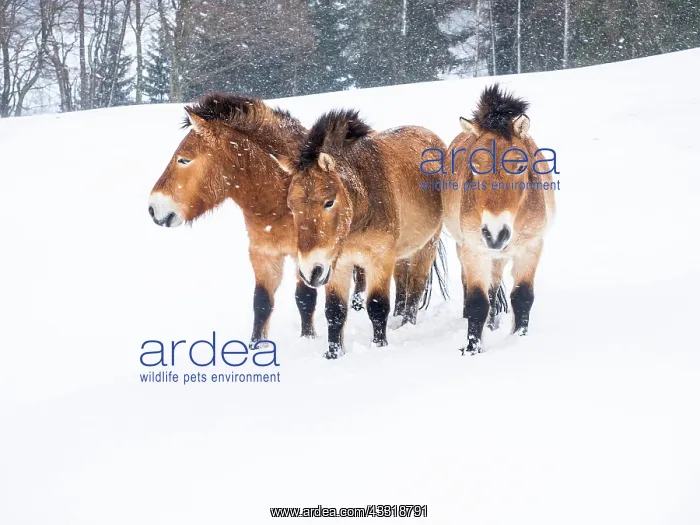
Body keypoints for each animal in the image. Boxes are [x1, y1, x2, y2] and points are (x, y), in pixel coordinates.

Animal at [147, 93, 368, 346]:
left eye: (184, 160)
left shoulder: (306, 256)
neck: (277, 197)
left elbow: (305, 298)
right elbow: (261, 303)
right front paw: (256, 345)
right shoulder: (263, 255)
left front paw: (307, 337)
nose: (153, 208)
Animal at [272, 109, 448, 359]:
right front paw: (333, 354)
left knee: (415, 288)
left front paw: (379, 345)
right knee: (402, 284)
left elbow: (377, 306)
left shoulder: (380, 258)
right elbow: (334, 311)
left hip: (426, 246)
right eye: (291, 206)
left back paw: (407, 324)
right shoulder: (337, 263)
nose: (309, 271)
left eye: (329, 202)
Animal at [442, 84, 556, 355]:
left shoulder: (531, 247)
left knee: (495, 286)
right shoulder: (475, 250)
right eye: (475, 164)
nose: (495, 234)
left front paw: (519, 337)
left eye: (519, 165)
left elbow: (522, 297)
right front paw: (472, 348)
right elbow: (477, 301)